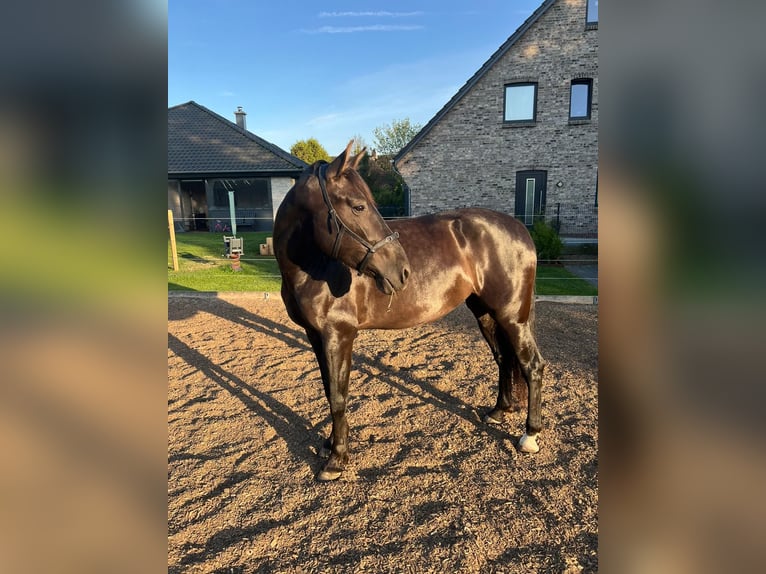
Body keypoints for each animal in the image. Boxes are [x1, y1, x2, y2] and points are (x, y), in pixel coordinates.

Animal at [273, 141, 545, 481]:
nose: (402, 271)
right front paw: (328, 445)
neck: (315, 266)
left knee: (532, 366)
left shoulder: (339, 335)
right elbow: (328, 389)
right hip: (486, 313)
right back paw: (498, 412)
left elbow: (338, 395)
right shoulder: (315, 336)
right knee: (504, 360)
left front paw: (337, 459)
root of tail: (520, 228)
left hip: (512, 317)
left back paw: (530, 435)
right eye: (359, 206)